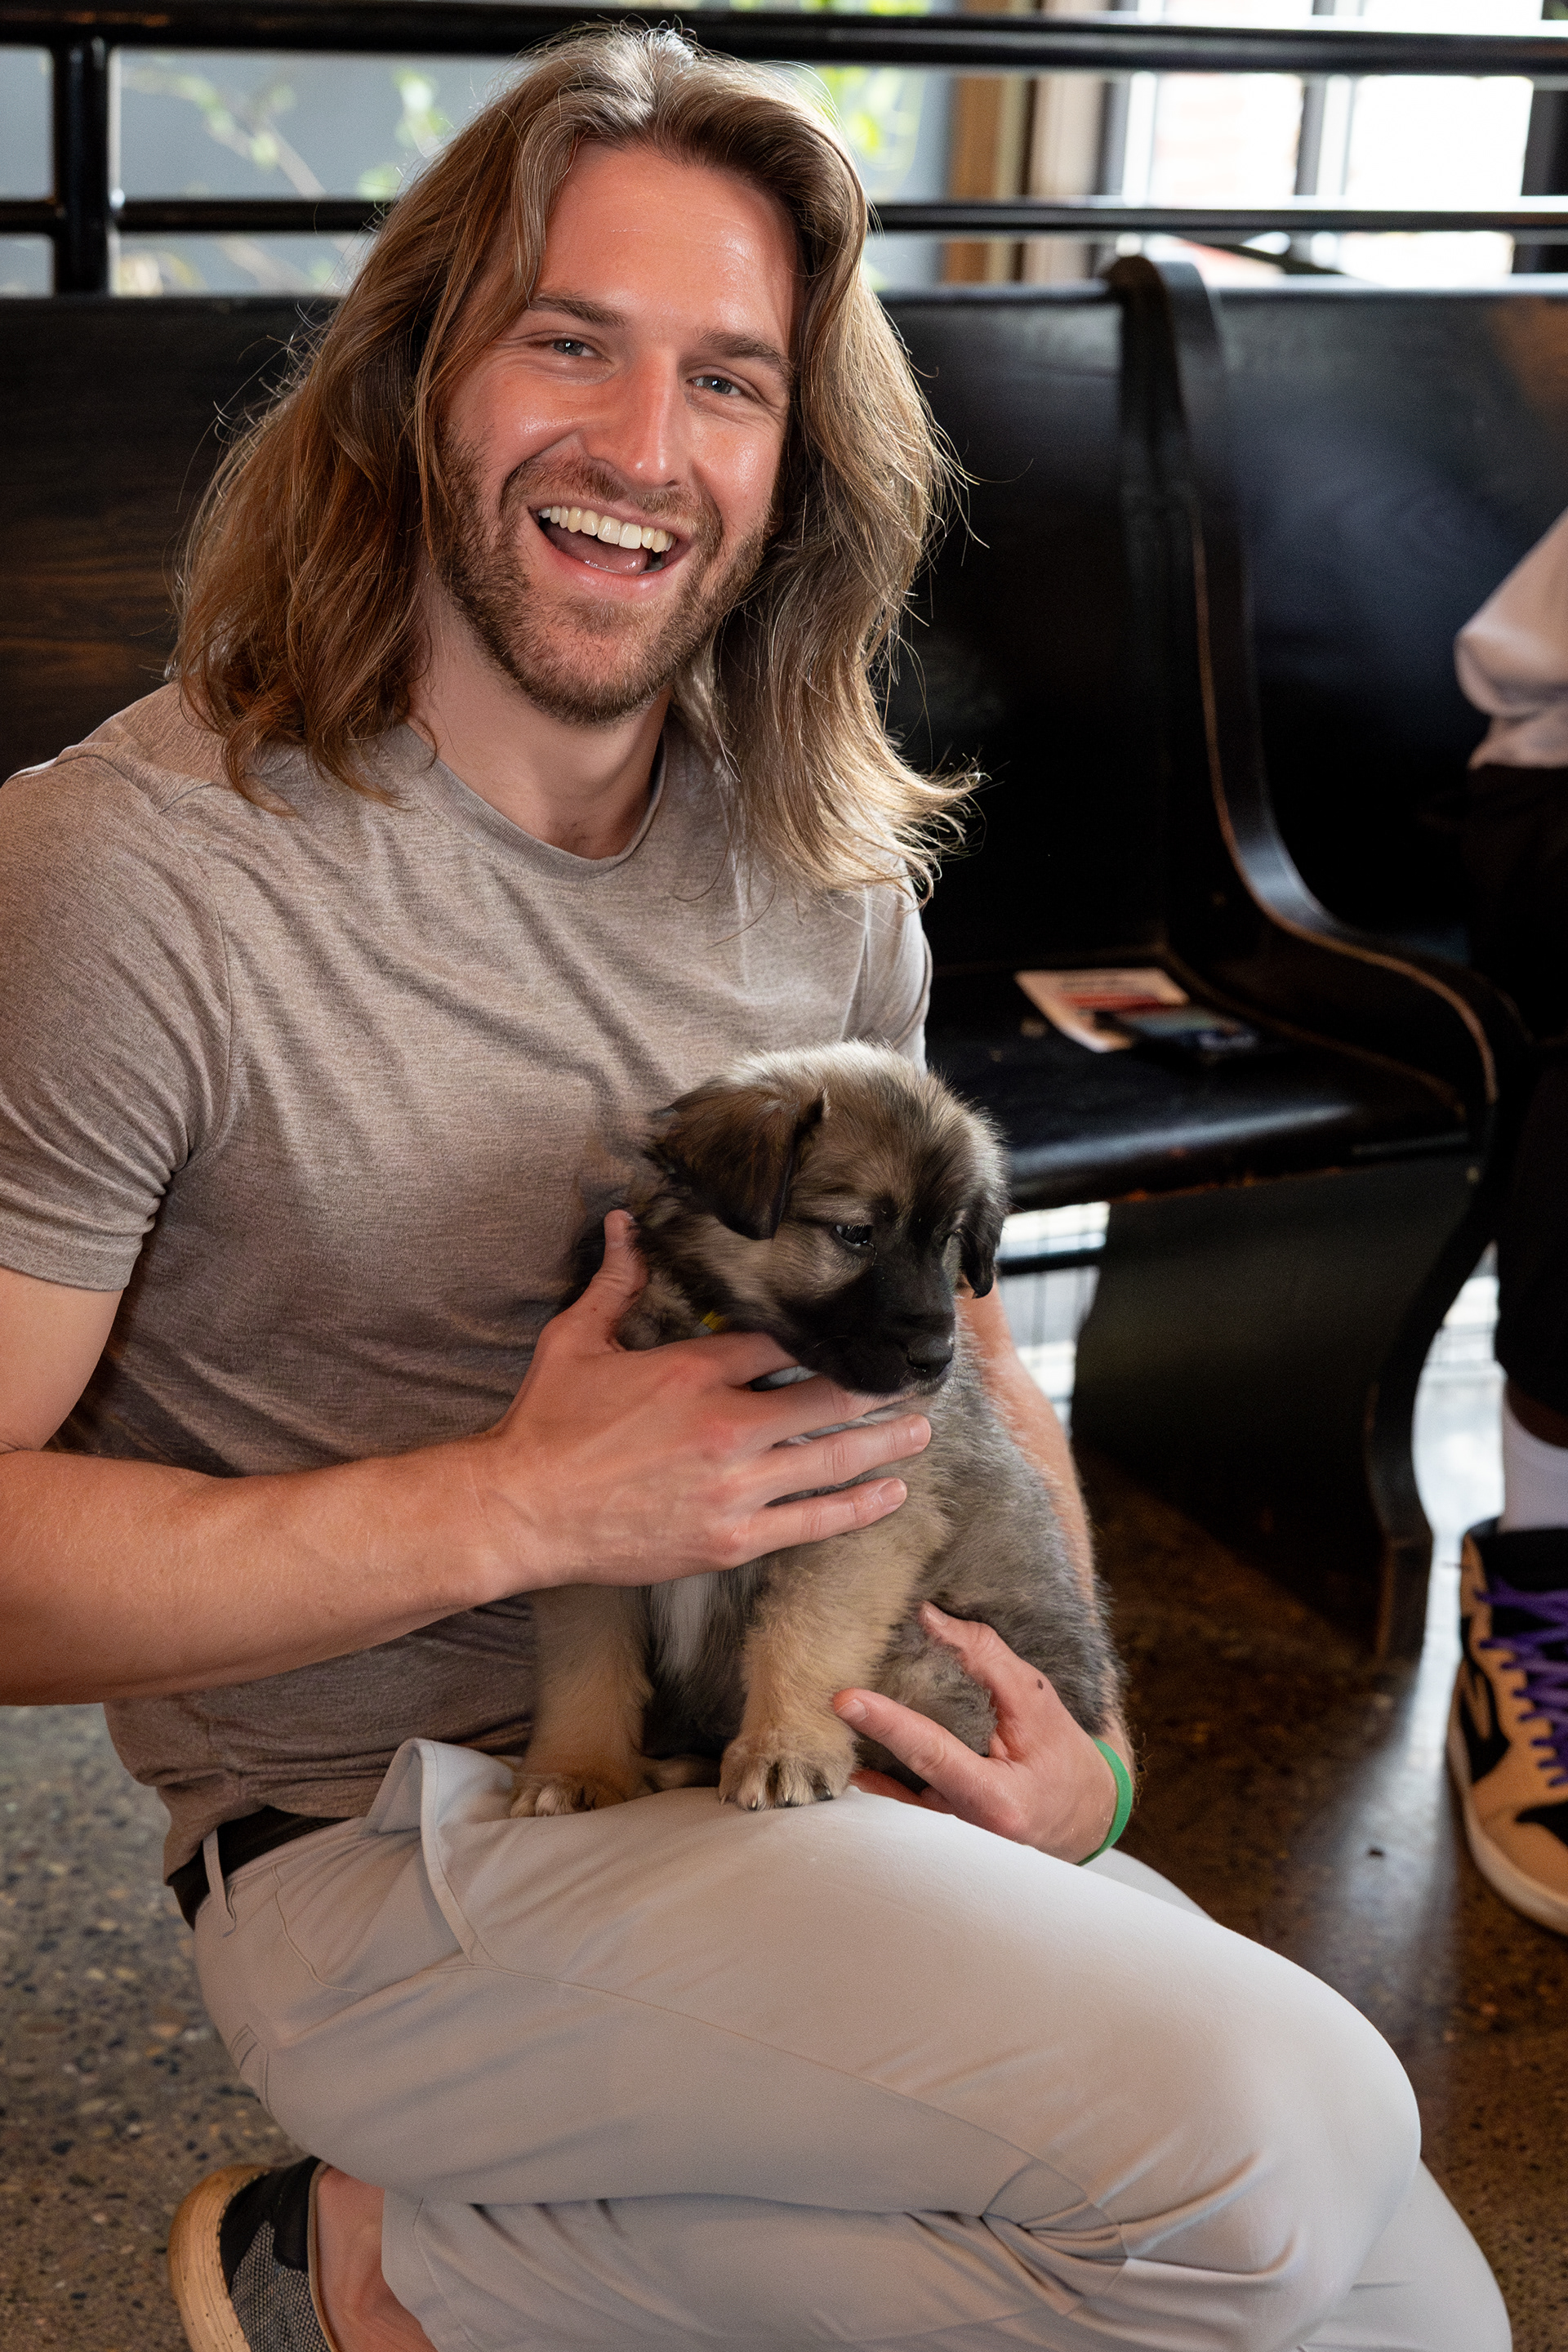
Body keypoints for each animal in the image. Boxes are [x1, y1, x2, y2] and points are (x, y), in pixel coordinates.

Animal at [512, 1043, 1120, 1816]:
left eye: (949, 1240)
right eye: (856, 1233)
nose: (937, 1359)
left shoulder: (860, 1516)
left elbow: (800, 1637)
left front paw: (783, 1750)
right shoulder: (592, 1534)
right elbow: (586, 1663)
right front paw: (577, 1768)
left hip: (925, 1658)